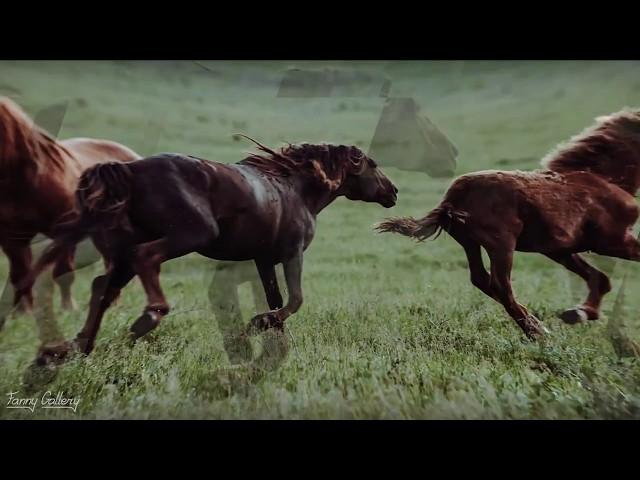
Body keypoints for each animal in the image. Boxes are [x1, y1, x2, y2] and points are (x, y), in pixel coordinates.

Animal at [0, 96, 139, 332]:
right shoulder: (14, 237)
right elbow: (21, 274)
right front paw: (23, 314)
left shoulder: (64, 230)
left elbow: (64, 273)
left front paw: (68, 310)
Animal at [27, 137, 398, 362]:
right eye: (373, 164)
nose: (393, 192)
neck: (297, 189)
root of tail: (130, 170)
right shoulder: (293, 253)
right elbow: (295, 300)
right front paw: (255, 325)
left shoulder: (264, 259)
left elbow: (277, 300)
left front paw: (272, 337)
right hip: (190, 235)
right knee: (143, 261)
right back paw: (145, 319)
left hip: (125, 248)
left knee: (102, 287)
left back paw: (77, 348)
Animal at [378, 109, 640, 340]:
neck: (602, 177)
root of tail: (452, 199)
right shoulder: (614, 241)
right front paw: (582, 313)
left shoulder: (559, 249)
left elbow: (598, 278)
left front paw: (580, 313)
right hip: (501, 244)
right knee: (500, 285)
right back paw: (537, 332)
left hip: (470, 242)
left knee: (481, 279)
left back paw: (536, 325)